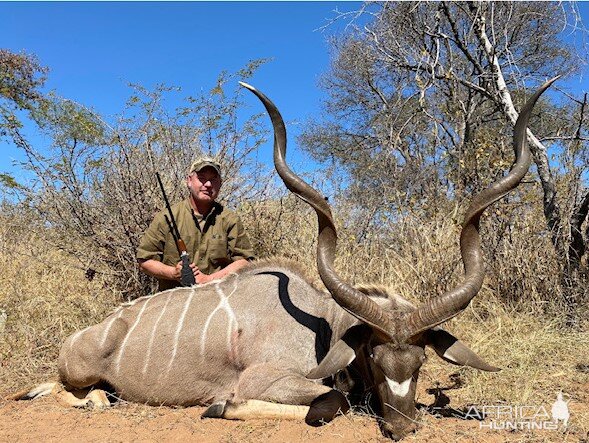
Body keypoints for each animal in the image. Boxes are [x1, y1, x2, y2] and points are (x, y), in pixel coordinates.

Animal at [14, 80, 556, 440]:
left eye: (420, 361)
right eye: (373, 356)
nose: (402, 427)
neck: (326, 328)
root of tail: (87, 334)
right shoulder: (266, 379)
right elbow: (331, 400)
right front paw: (218, 408)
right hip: (78, 373)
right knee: (65, 391)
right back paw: (99, 399)